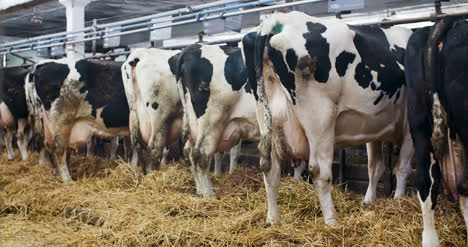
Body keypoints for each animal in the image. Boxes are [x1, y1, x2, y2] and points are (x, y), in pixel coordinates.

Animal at [241, 12, 414, 227]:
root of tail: (276, 20)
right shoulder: (411, 125)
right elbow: (402, 168)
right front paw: (399, 200)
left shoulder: (373, 125)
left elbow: (375, 167)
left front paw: (369, 202)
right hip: (320, 118)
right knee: (319, 172)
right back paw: (331, 221)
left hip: (267, 118)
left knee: (270, 170)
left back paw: (273, 221)